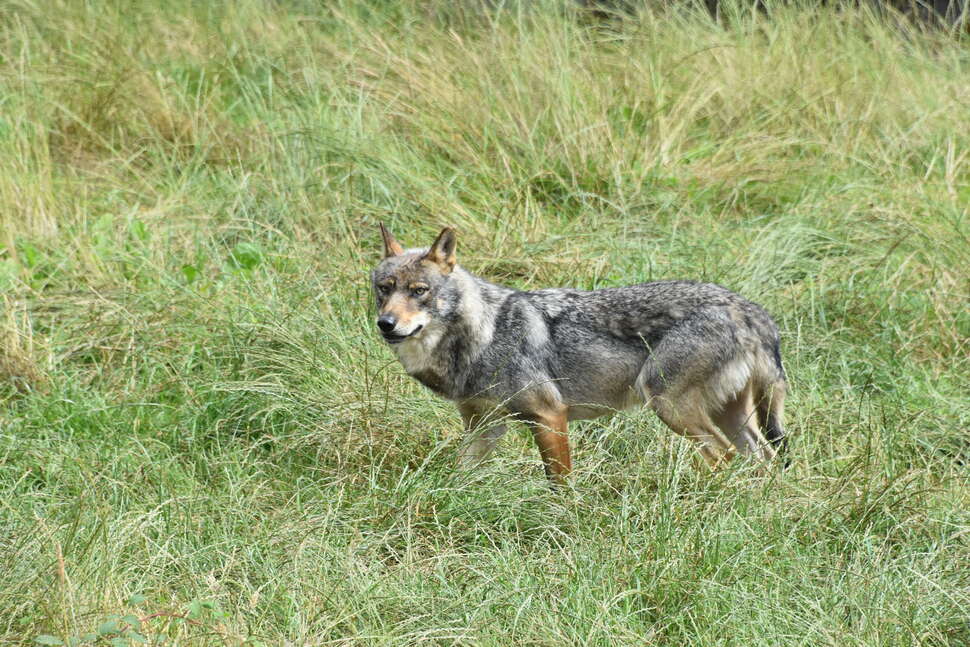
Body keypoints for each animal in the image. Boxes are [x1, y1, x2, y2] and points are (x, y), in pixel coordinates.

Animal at [370, 225, 788, 484]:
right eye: (384, 289)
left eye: (419, 291)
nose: (385, 324)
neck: (484, 333)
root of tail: (749, 310)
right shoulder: (483, 427)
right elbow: (461, 477)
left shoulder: (549, 415)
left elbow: (561, 485)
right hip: (729, 417)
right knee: (762, 461)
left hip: (669, 406)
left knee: (725, 459)